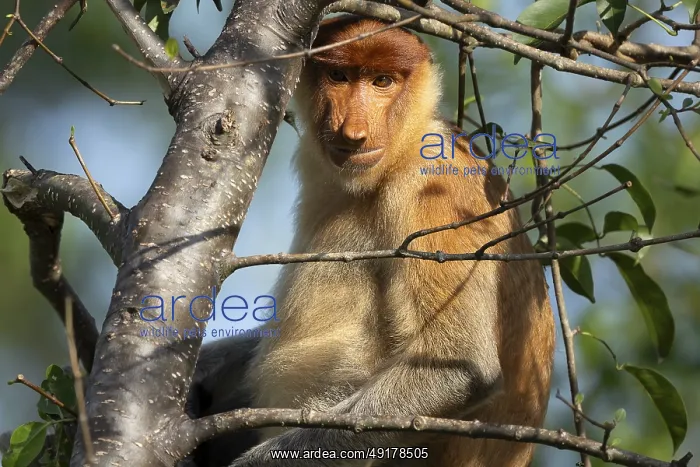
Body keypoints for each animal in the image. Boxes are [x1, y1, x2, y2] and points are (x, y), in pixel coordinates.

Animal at [189, 15, 555, 467]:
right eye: (339, 76)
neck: (404, 144)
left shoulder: (434, 189)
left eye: (383, 81)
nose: (354, 132)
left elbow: (458, 367)